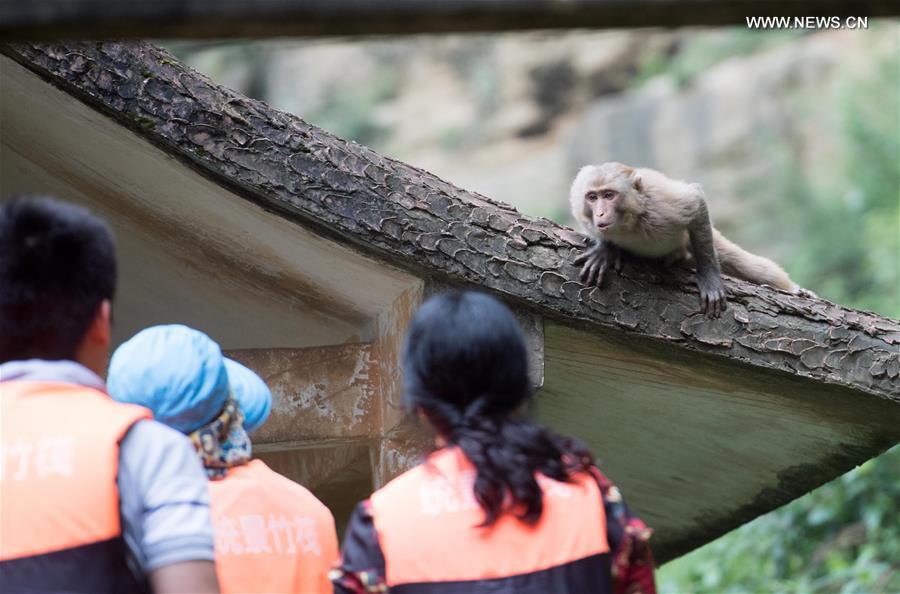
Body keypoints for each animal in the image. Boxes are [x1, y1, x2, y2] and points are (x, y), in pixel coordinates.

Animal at [570, 162, 812, 317]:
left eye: (609, 195)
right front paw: (606, 249)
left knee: (758, 269)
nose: (600, 213)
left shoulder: (663, 206)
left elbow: (695, 202)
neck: (631, 221)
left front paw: (710, 277)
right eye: (592, 197)